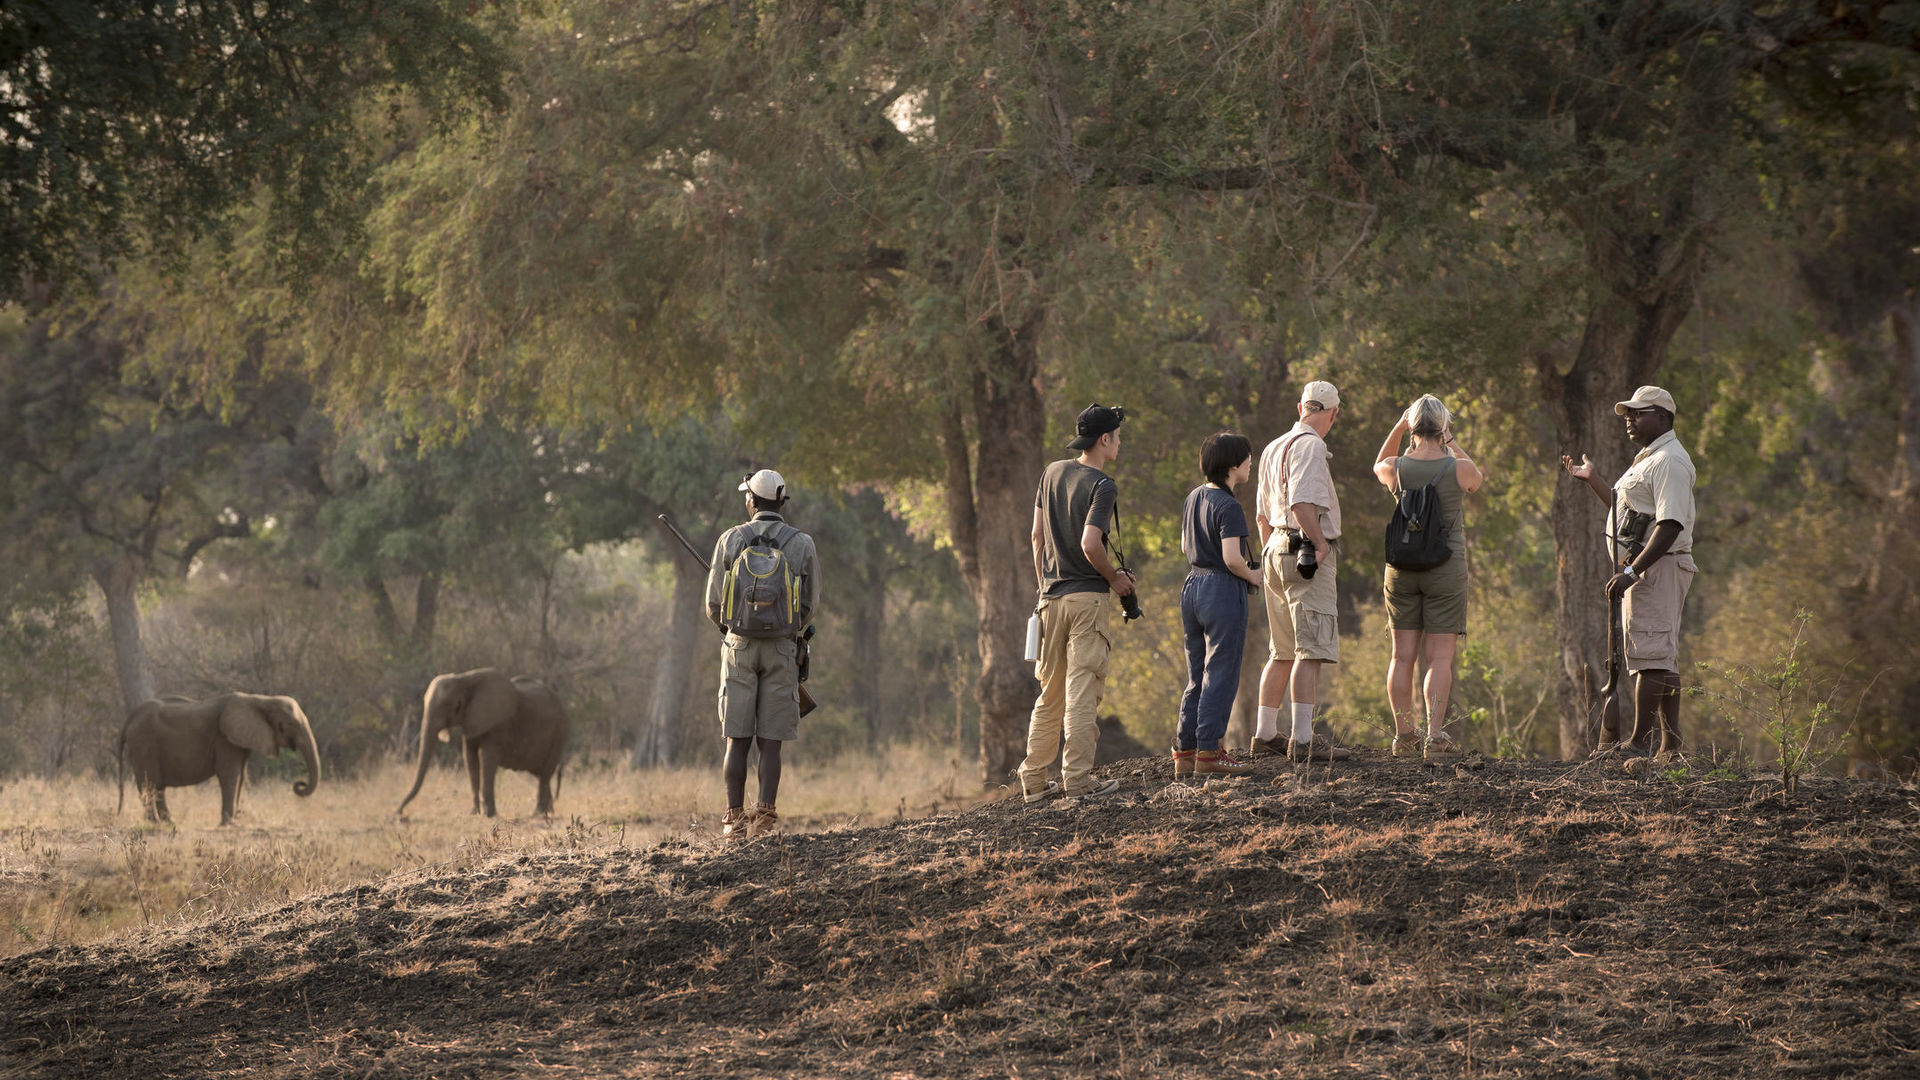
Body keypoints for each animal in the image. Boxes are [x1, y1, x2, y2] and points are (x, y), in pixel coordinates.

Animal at [118, 687, 320, 822]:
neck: (261, 700)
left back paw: (168, 822)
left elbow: (240, 776)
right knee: (149, 783)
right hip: (144, 744)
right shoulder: (224, 738)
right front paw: (229, 823)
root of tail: (131, 717)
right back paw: (155, 822)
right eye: (290, 724)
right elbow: (230, 774)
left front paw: (236, 819)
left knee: (156, 787)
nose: (299, 784)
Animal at [393, 664, 564, 814]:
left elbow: (486, 758)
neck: (463, 679)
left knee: (545, 774)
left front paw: (489, 814)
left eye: (449, 705)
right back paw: (548, 812)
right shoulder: (470, 721)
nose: (399, 813)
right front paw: (474, 812)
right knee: (541, 775)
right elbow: (470, 758)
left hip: (560, 732)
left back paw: (538, 814)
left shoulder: (497, 722)